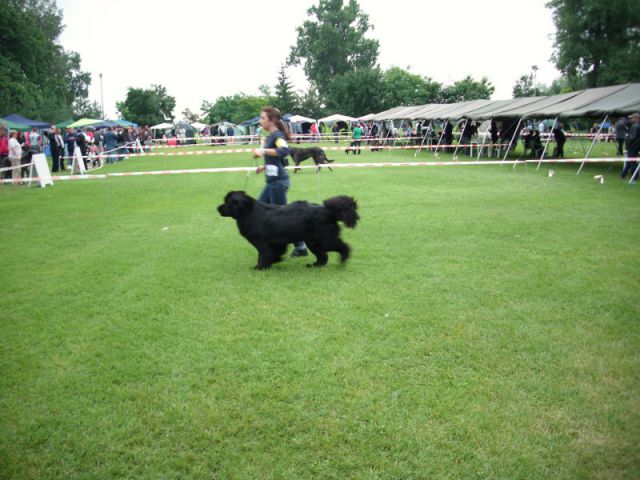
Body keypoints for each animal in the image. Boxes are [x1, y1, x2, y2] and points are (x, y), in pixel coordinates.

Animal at [219, 190, 360, 270]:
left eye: (227, 202)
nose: (218, 208)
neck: (249, 212)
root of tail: (329, 211)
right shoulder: (276, 243)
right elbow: (274, 254)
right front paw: (273, 262)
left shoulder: (263, 243)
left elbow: (263, 255)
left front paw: (259, 267)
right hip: (313, 242)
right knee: (323, 256)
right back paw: (314, 266)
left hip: (322, 240)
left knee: (343, 247)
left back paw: (343, 260)